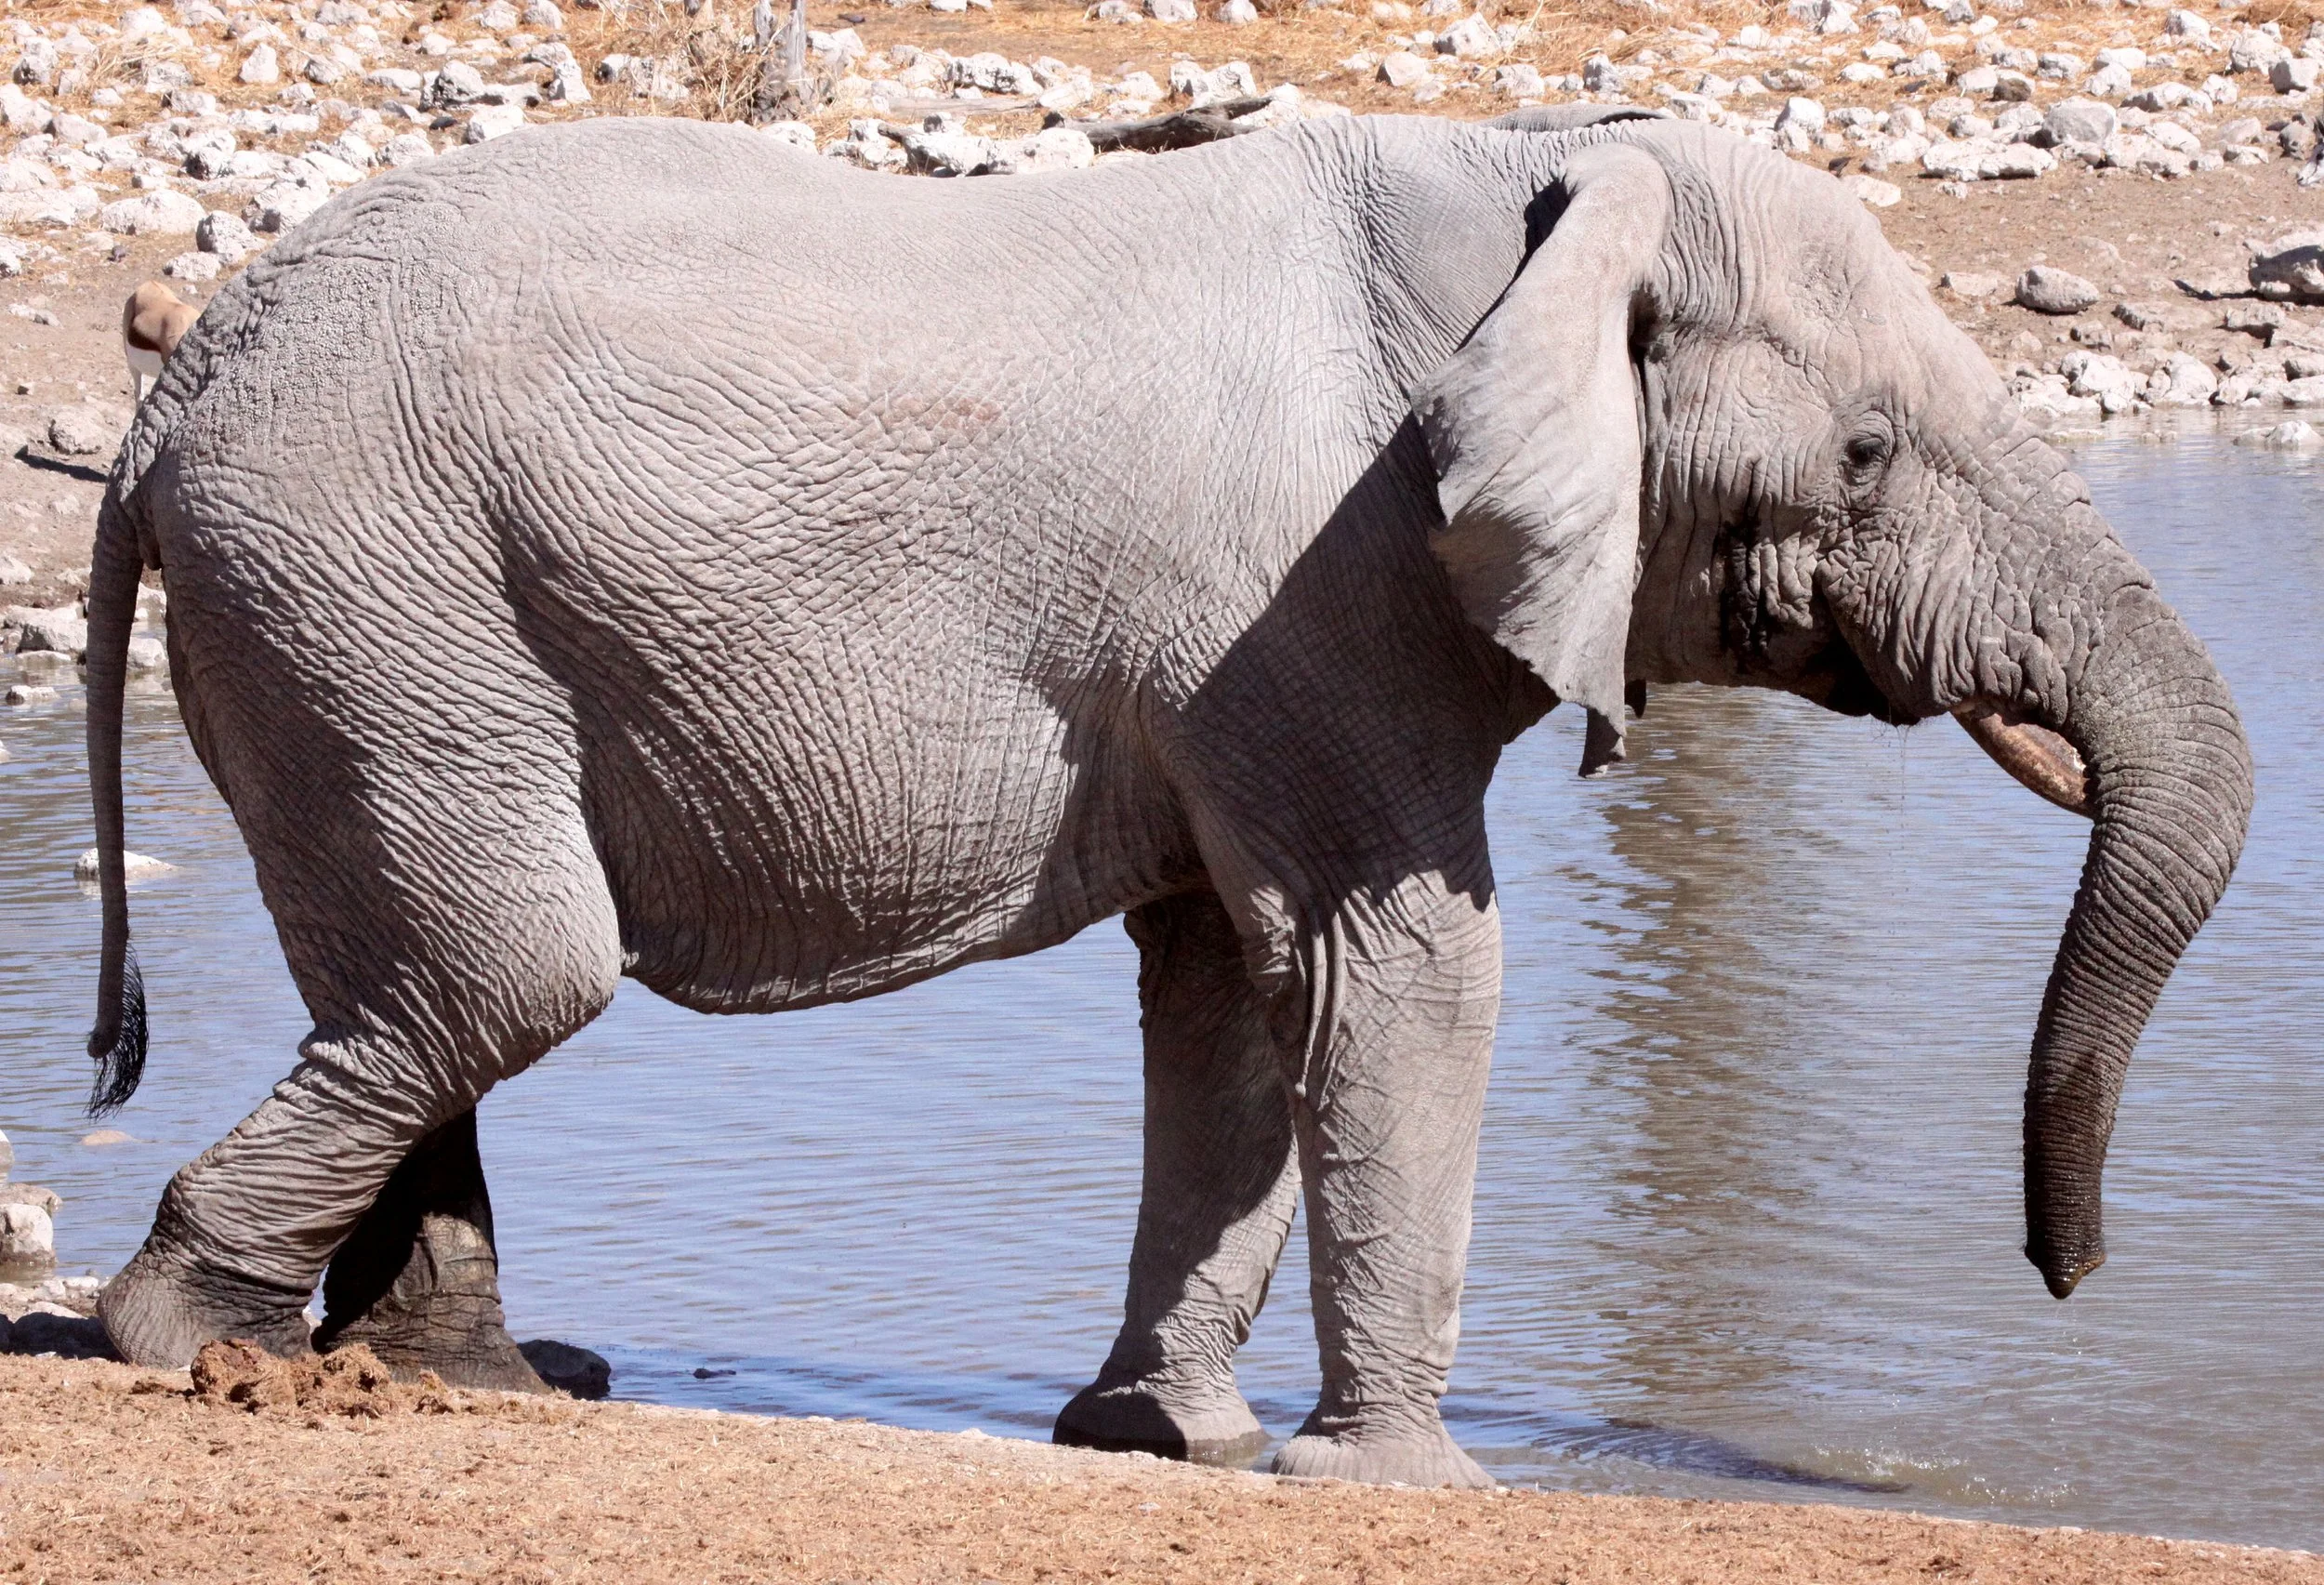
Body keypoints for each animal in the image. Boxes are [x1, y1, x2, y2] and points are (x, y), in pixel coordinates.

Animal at [81, 108, 2251, 1489]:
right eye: (1866, 454)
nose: (2066, 1277)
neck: (1534, 179)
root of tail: (160, 407)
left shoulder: (1249, 655)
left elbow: (1235, 990)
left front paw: (1168, 1445)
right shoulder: (1321, 586)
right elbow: (1403, 961)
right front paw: (1399, 1493)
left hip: (343, 618)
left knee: (421, 981)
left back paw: (472, 1380)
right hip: (370, 589)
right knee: (504, 968)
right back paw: (176, 1341)